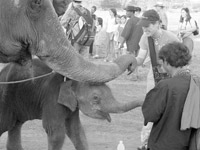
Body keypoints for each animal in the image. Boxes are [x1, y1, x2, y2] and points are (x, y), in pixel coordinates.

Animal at [0, 58, 142, 150]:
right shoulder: (52, 98)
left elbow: (75, 130)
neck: (72, 80)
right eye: (95, 98)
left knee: (15, 125)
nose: (130, 68)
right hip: (6, 100)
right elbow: (56, 132)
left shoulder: (72, 107)